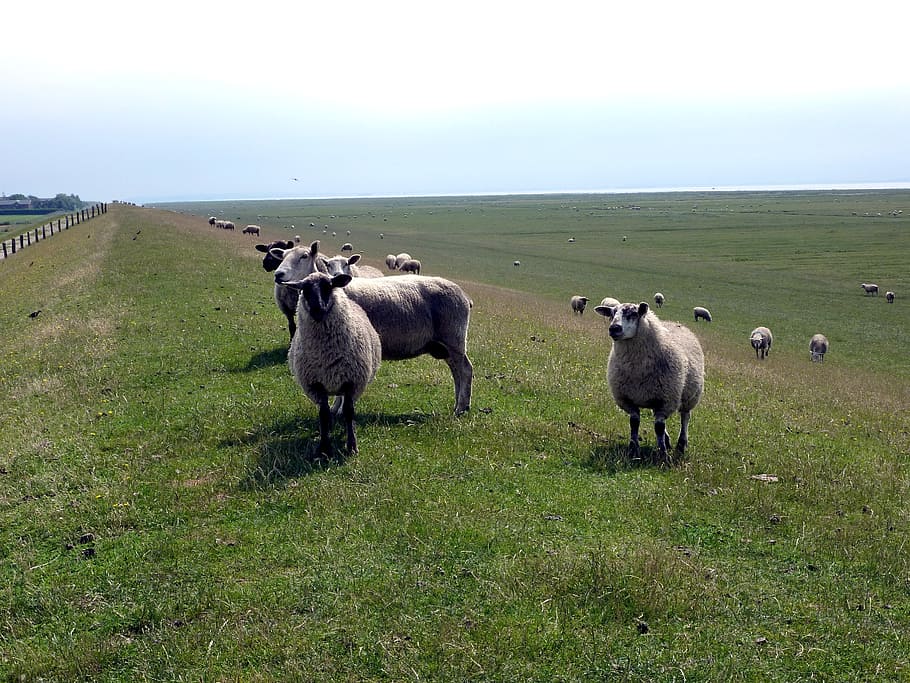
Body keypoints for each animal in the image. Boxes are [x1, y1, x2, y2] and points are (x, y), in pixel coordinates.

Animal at [274, 241, 473, 415]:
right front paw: (335, 409)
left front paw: (338, 410)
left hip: (453, 338)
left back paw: (461, 408)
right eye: (282, 256)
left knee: (465, 370)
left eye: (304, 256)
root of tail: (464, 295)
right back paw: (459, 404)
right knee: (456, 372)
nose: (278, 274)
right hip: (443, 345)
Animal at [283, 271, 381, 455]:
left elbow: (349, 412)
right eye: (304, 289)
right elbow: (323, 414)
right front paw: (323, 447)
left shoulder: (351, 381)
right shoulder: (316, 384)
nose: (317, 309)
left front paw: (351, 444)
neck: (326, 354)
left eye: (328, 286)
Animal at [595, 302, 705, 462]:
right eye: (612, 314)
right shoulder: (629, 400)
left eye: (634, 314)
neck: (637, 369)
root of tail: (675, 323)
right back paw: (668, 440)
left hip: (690, 396)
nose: (614, 328)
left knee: (685, 418)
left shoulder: (666, 400)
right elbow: (634, 423)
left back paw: (681, 444)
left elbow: (658, 427)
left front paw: (663, 455)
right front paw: (634, 450)